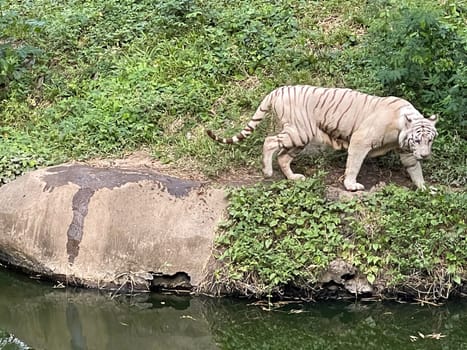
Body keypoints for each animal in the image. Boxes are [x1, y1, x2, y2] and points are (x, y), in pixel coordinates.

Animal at [208, 85, 438, 191]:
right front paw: (351, 186)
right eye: (417, 140)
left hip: (299, 138)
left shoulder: (406, 152)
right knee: (270, 141)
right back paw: (267, 172)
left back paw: (294, 177)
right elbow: (354, 165)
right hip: (298, 132)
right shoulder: (360, 141)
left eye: (429, 140)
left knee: (283, 156)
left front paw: (425, 188)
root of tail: (278, 89)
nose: (426, 155)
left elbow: (415, 169)